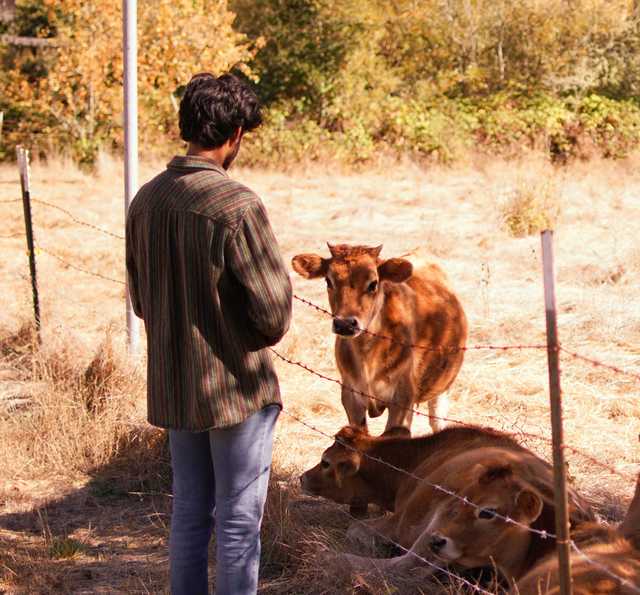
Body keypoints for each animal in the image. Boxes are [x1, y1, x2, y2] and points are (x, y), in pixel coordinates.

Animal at [292, 244, 468, 436]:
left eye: (373, 284)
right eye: (328, 281)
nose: (345, 324)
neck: (368, 356)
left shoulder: (403, 399)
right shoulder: (350, 396)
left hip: (442, 388)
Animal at [302, 426, 592, 588]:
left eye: (325, 462)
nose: (302, 477)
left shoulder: (401, 522)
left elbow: (355, 530)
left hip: (442, 521)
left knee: (410, 567)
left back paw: (331, 558)